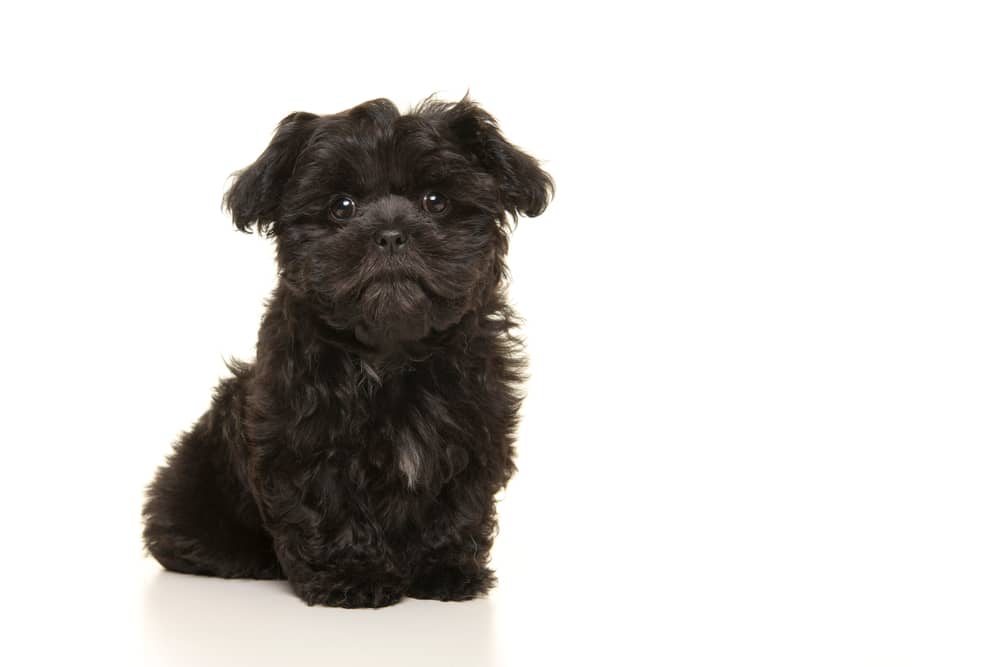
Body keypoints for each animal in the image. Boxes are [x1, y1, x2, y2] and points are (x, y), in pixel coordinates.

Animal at [140, 96, 552, 608]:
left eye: (435, 201)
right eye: (341, 207)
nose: (391, 233)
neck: (393, 355)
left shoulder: (475, 432)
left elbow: (457, 506)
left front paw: (443, 570)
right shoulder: (303, 440)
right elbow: (329, 505)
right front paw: (353, 576)